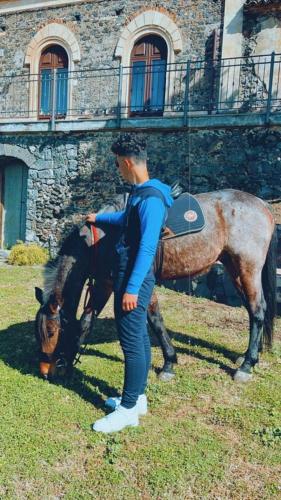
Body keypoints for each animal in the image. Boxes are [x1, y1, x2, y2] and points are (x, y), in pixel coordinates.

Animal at [34, 189, 276, 384]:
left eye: (51, 331)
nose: (45, 371)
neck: (103, 239)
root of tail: (263, 204)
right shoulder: (104, 284)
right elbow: (85, 322)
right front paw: (70, 362)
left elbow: (155, 320)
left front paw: (169, 363)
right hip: (234, 269)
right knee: (254, 309)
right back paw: (249, 355)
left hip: (247, 268)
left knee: (257, 310)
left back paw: (246, 366)